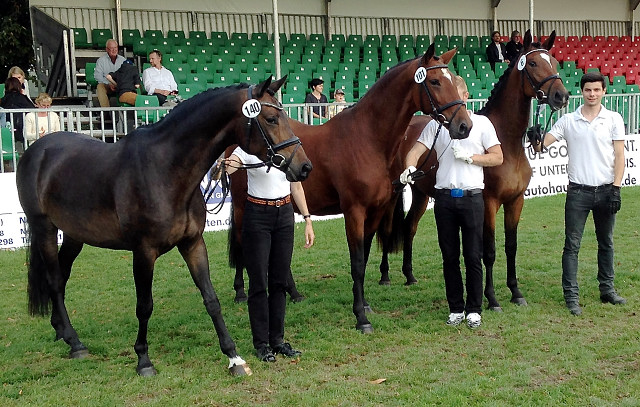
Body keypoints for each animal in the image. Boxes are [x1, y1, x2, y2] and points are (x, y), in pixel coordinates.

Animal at [16, 76, 312, 376]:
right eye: (272, 119)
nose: (304, 167)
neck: (164, 170)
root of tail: (36, 150)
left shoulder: (192, 244)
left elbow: (211, 299)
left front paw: (234, 357)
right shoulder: (143, 253)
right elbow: (144, 306)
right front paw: (143, 360)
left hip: (74, 235)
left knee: (62, 275)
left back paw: (61, 331)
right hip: (44, 229)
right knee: (54, 280)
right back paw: (75, 343)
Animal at [228, 44, 472, 334]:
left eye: (453, 80)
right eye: (434, 82)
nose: (464, 126)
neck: (367, 138)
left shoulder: (375, 211)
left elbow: (364, 258)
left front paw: (365, 304)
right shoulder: (354, 212)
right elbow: (356, 264)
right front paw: (361, 318)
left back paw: (294, 293)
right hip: (243, 206)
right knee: (242, 243)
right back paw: (241, 292)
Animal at [378, 30, 568, 310]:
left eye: (553, 62)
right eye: (533, 63)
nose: (561, 96)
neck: (506, 144)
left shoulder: (516, 201)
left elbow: (511, 247)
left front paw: (516, 292)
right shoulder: (489, 203)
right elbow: (488, 251)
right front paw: (492, 298)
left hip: (421, 194)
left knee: (410, 226)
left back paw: (409, 275)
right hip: (393, 194)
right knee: (388, 228)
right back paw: (385, 275)